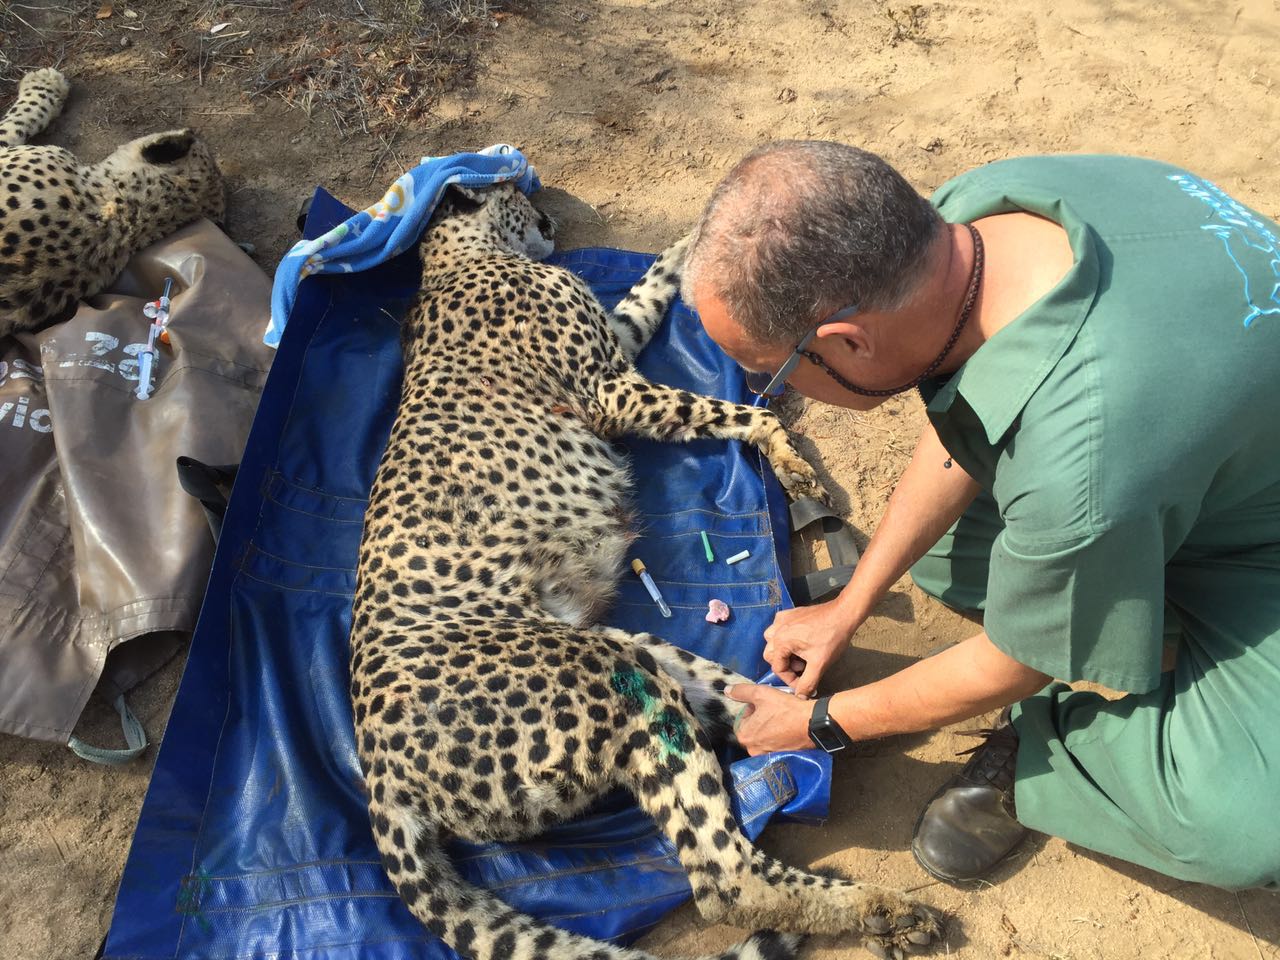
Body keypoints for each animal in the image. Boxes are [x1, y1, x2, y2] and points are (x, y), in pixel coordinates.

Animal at [349, 180, 943, 960]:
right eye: (513, 187)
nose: (543, 203)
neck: (453, 261)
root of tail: (377, 772)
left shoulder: (620, 347)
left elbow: (651, 288)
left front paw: (695, 242)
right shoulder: (611, 390)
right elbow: (729, 408)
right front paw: (781, 448)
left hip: (634, 652)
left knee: (750, 719)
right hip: (609, 682)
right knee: (725, 881)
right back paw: (875, 908)